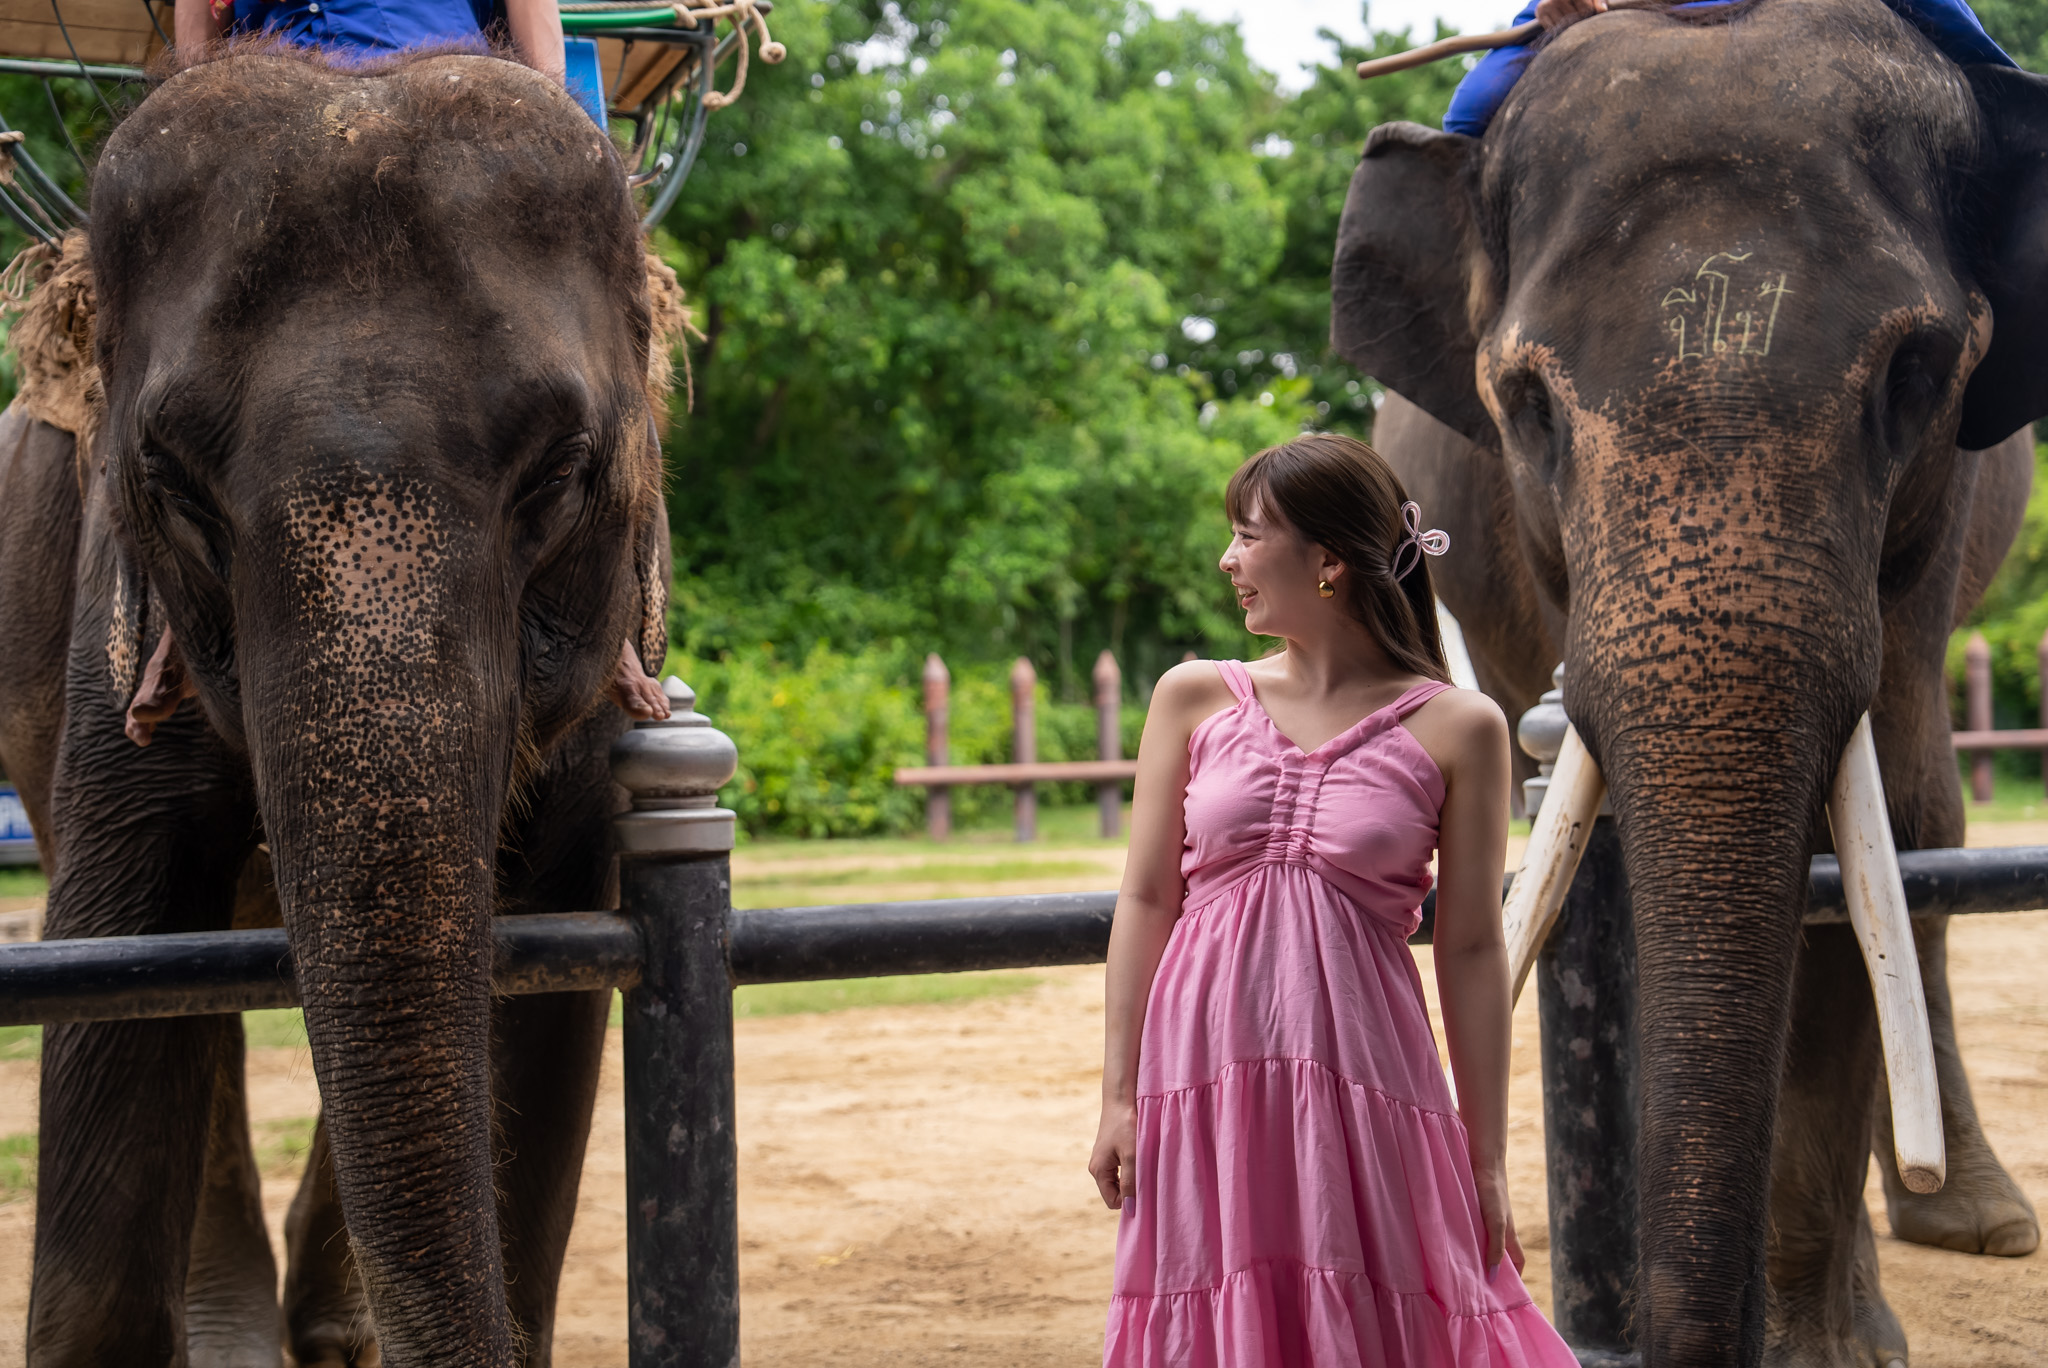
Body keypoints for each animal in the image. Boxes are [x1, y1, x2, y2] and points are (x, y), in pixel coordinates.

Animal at [1327, 0, 2048, 1359]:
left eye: (1915, 375)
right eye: (1524, 404)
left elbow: (1863, 845)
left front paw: (1826, 1346)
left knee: (1924, 831)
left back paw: (1974, 1220)